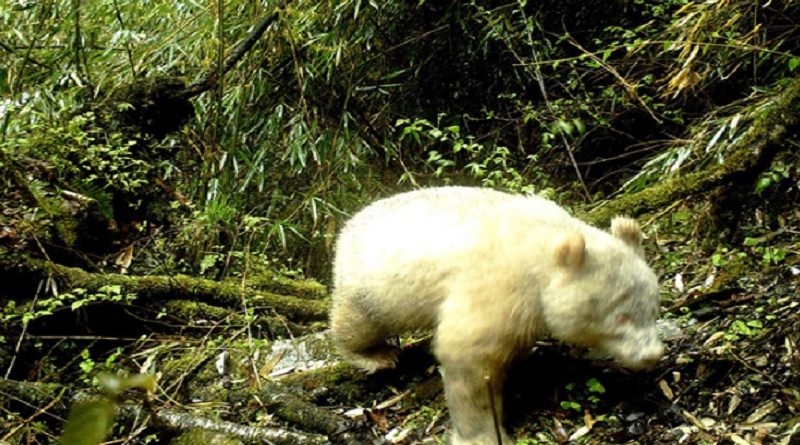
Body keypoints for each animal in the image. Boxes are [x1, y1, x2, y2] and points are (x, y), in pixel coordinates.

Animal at [328, 186, 664, 444]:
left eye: (653, 308)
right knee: (358, 323)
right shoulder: (500, 286)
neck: (543, 246)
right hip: (370, 284)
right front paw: (482, 434)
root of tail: (348, 226)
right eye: (621, 316)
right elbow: (468, 356)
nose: (653, 354)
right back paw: (376, 355)